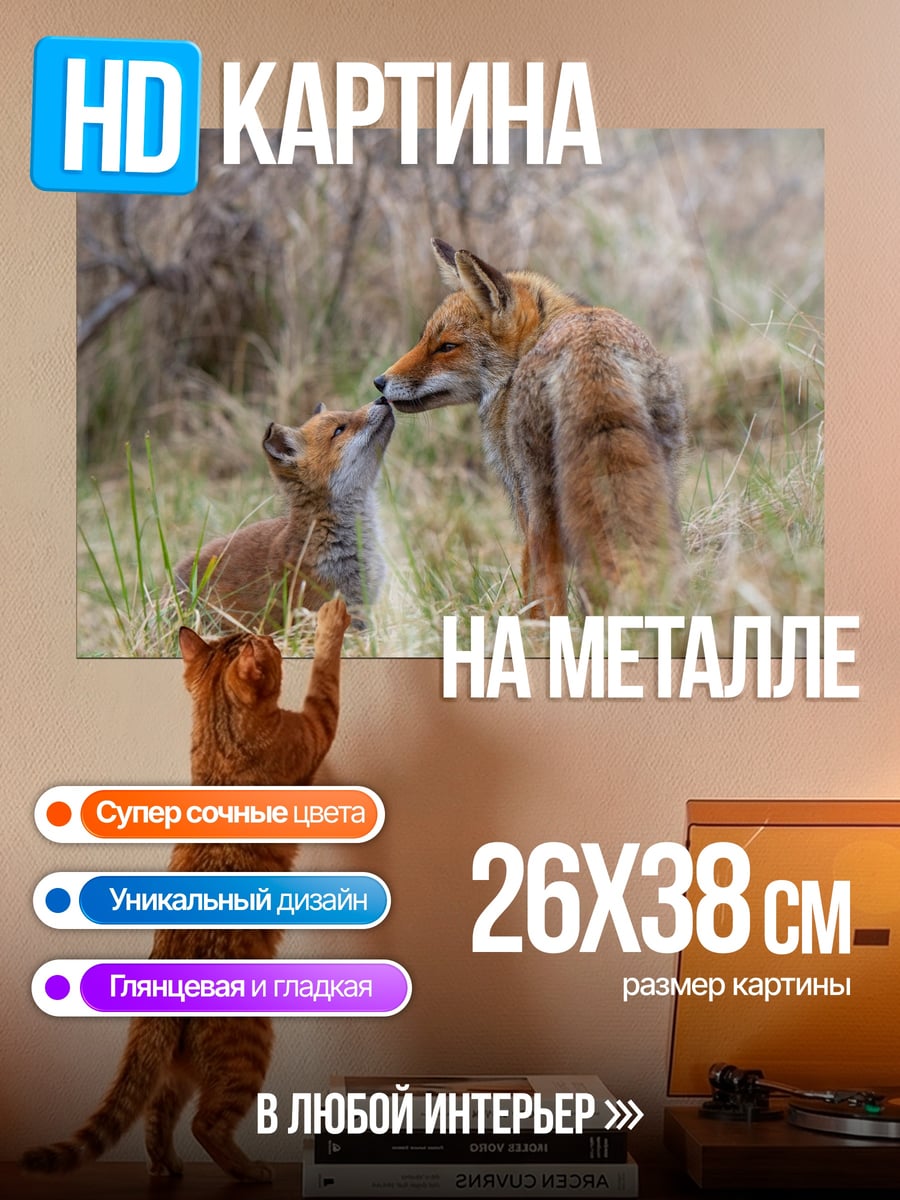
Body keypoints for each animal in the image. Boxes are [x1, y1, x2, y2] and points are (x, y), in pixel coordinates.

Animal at [374, 239, 686, 616]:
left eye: (447, 346)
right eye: (423, 340)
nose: (380, 382)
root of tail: (592, 349)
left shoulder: (521, 497)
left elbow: (530, 578)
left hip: (543, 498)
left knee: (549, 583)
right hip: (663, 480)